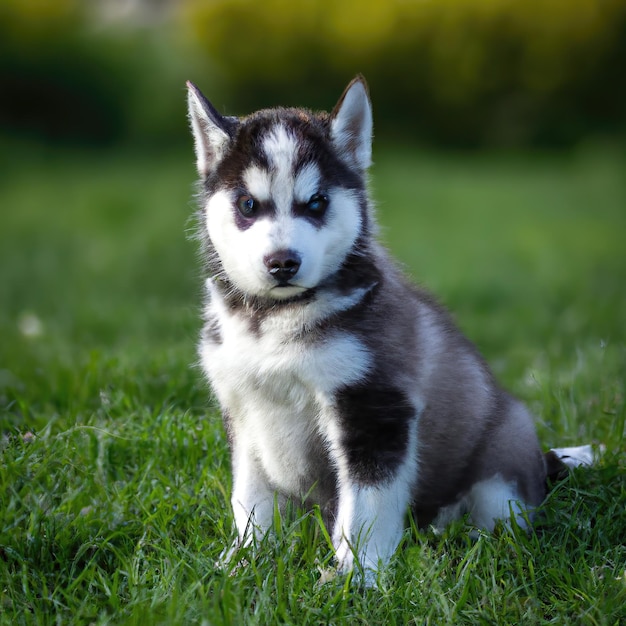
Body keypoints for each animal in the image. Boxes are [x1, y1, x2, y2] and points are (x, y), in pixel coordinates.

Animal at [185, 77, 544, 580]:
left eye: (317, 202)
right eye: (248, 205)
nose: (282, 263)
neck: (271, 322)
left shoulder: (374, 406)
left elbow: (365, 510)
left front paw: (356, 578)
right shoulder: (243, 407)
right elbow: (250, 498)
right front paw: (243, 560)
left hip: (504, 460)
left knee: (495, 514)